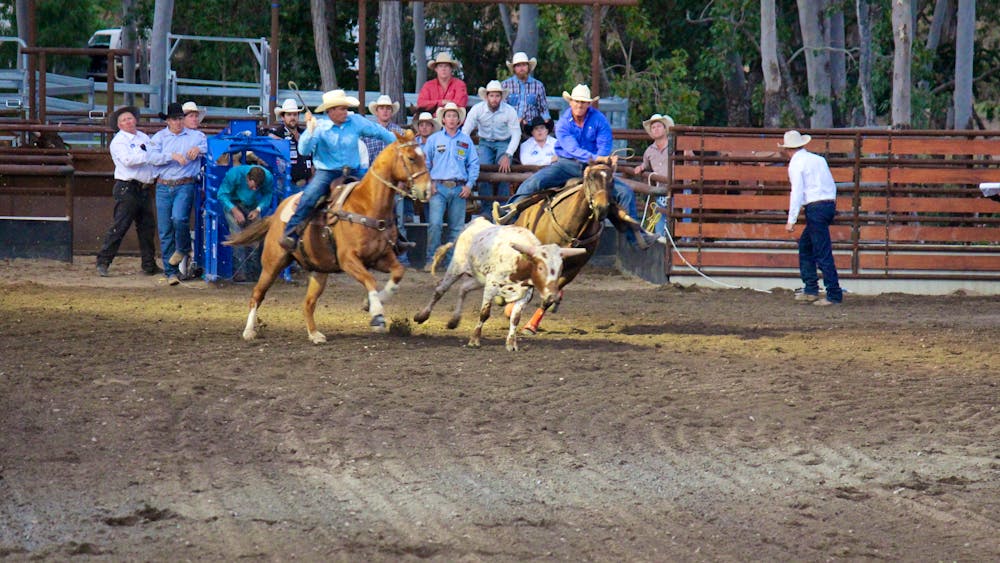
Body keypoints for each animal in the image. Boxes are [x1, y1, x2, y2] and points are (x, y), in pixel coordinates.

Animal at [225, 131, 428, 344]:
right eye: (411, 158)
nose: (427, 190)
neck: (366, 205)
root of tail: (276, 215)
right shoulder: (348, 260)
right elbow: (370, 279)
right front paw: (377, 313)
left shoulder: (379, 257)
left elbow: (398, 272)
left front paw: (371, 302)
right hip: (273, 263)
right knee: (257, 294)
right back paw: (249, 331)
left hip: (319, 271)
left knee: (308, 304)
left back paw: (314, 334)